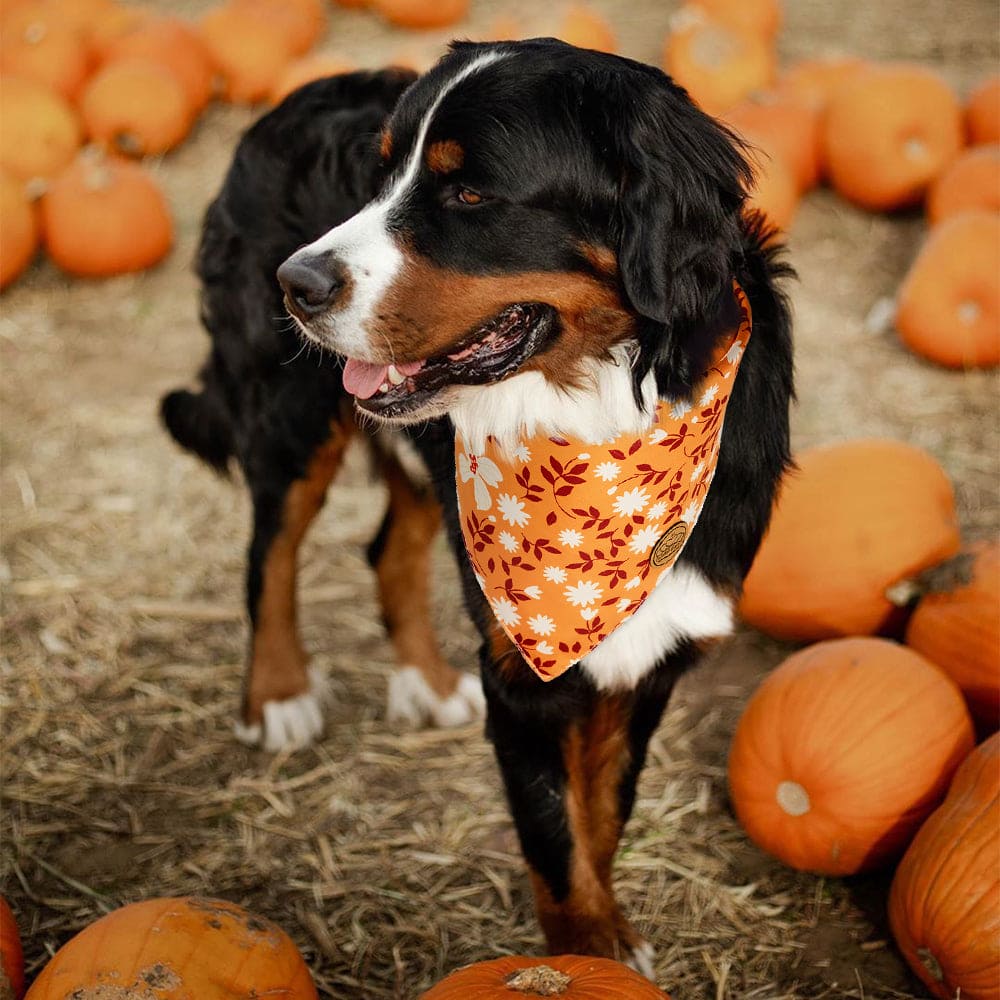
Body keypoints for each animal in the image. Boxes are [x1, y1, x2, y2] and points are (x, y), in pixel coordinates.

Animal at [164, 43, 792, 972]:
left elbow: (599, 814)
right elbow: (555, 842)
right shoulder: (520, 670)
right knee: (268, 554)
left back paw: (425, 684)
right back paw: (277, 695)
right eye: (381, 175)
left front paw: (607, 942)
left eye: (468, 194)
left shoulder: (656, 642)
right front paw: (580, 958)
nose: (295, 282)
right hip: (292, 414)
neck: (603, 413)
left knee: (387, 548)